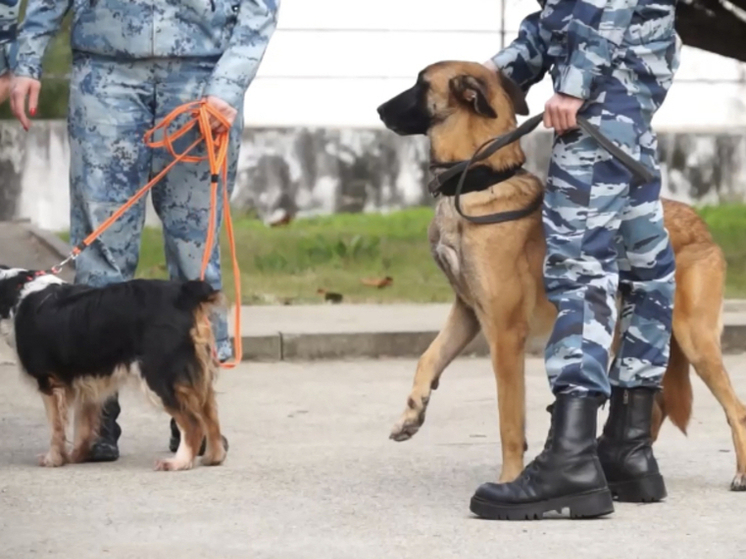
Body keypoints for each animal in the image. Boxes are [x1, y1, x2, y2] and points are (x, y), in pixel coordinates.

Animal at [0, 266, 227, 472]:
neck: (18, 291)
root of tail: (184, 293)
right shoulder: (86, 382)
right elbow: (82, 426)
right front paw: (76, 456)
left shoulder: (49, 383)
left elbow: (56, 428)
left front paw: (53, 459)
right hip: (195, 374)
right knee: (211, 414)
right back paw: (214, 457)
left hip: (159, 376)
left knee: (193, 423)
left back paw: (178, 463)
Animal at [374, 59, 744, 492]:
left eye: (420, 83)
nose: (378, 109)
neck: (482, 181)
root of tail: (701, 225)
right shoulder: (467, 314)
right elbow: (427, 358)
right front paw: (412, 414)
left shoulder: (505, 336)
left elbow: (509, 422)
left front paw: (510, 479)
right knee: (653, 405)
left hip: (694, 339)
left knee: (736, 408)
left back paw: (739, 474)